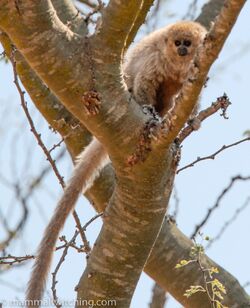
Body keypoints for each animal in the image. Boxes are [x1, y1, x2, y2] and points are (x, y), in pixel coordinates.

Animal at [26, 20, 207, 302]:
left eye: (188, 43)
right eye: (179, 43)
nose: (183, 50)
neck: (177, 65)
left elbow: (192, 98)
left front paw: (193, 119)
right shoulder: (154, 61)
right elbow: (145, 82)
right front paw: (149, 112)